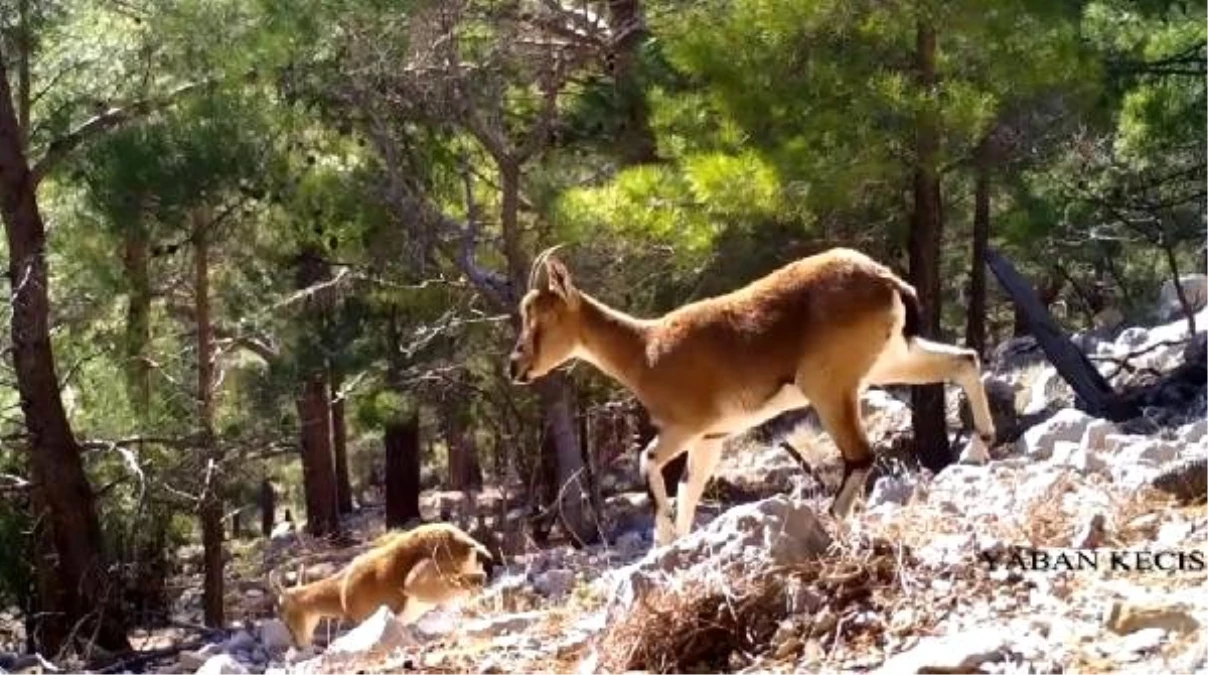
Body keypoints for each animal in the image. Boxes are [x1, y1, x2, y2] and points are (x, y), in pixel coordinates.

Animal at [270, 524, 495, 652]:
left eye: (283, 613)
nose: (298, 645)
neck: (341, 592)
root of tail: (467, 543)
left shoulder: (366, 618)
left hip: (418, 581)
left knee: (477, 581)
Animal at [504, 245, 995, 545]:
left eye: (540, 317)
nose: (515, 366)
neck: (645, 350)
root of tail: (888, 281)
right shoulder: (710, 439)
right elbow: (690, 489)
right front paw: (676, 546)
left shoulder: (687, 426)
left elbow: (649, 463)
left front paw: (663, 537)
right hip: (890, 359)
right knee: (965, 360)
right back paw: (977, 449)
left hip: (829, 385)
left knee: (861, 454)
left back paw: (831, 517)